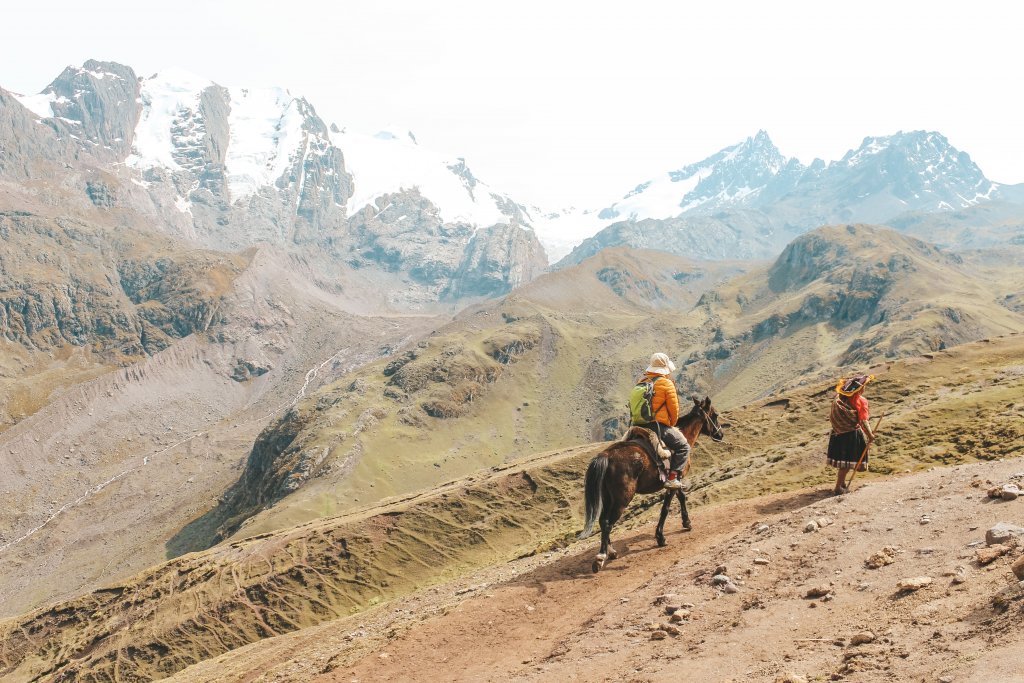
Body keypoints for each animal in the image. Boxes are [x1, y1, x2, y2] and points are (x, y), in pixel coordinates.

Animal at [581, 395, 724, 573]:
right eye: (715, 415)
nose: (720, 434)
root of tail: (606, 455)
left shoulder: (676, 480)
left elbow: (682, 497)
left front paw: (686, 522)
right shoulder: (673, 481)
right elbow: (666, 508)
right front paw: (660, 537)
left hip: (608, 498)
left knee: (602, 521)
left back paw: (611, 552)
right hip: (622, 499)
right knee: (607, 523)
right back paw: (600, 558)